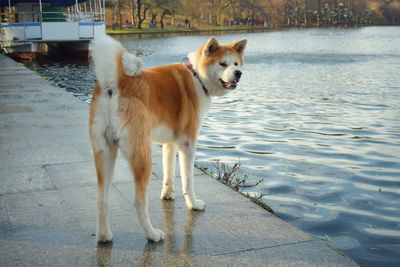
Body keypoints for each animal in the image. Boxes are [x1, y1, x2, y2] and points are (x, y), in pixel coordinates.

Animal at [90, 34, 247, 244]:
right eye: (223, 64)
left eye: (236, 63)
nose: (238, 73)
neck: (197, 77)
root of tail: (114, 84)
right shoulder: (188, 144)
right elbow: (187, 181)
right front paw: (193, 204)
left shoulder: (170, 143)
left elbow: (169, 174)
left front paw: (167, 195)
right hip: (142, 156)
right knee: (139, 202)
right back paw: (152, 234)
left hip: (105, 153)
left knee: (101, 199)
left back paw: (104, 236)